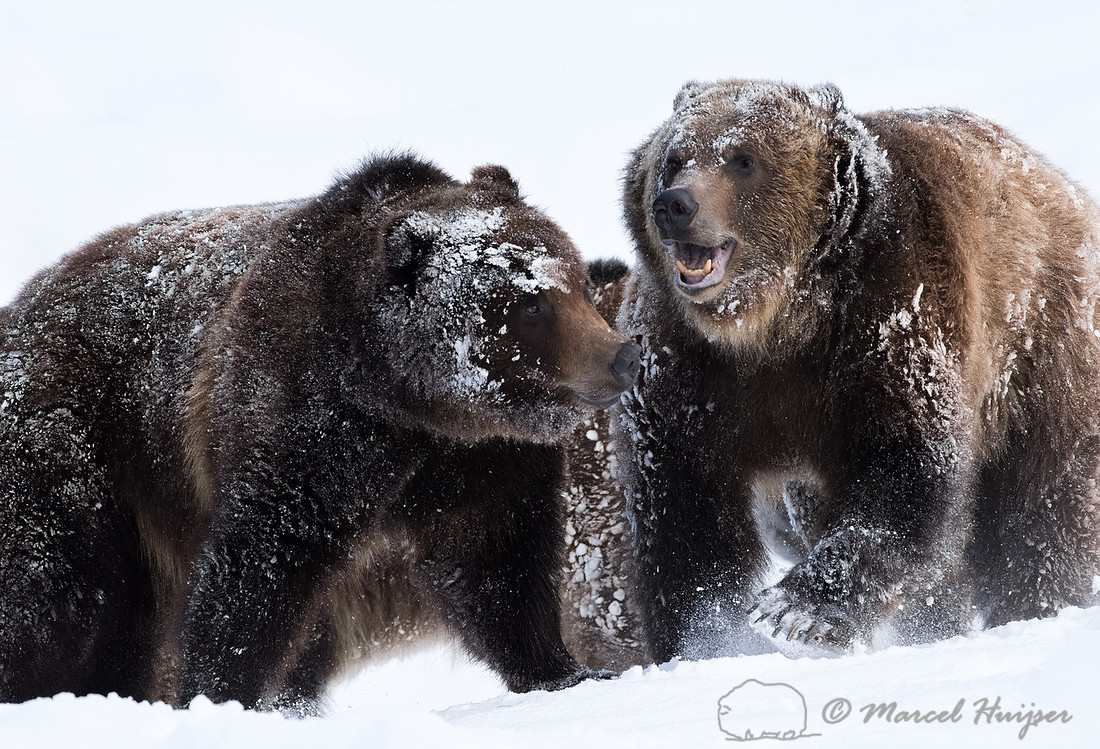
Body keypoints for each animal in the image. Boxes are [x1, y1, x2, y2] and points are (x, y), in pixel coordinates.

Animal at [0, 153, 641, 713]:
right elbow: (260, 568)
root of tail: (19, 309)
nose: (622, 356)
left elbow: (496, 559)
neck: (414, 404)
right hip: (78, 451)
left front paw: (562, 671)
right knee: (56, 597)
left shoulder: (480, 459)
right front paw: (220, 691)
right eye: (531, 305)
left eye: (575, 281)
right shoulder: (308, 428)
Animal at [616, 78, 1100, 662]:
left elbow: (905, 467)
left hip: (1040, 345)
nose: (675, 205)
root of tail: (1064, 187)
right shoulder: (683, 371)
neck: (773, 327)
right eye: (673, 158)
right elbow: (685, 514)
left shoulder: (888, 322)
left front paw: (794, 613)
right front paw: (707, 636)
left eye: (743, 159)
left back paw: (1034, 603)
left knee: (1041, 496)